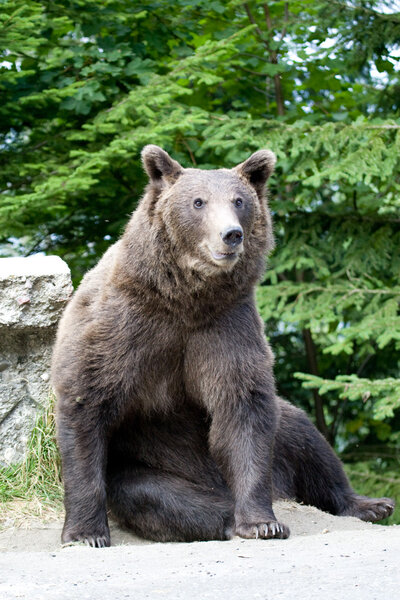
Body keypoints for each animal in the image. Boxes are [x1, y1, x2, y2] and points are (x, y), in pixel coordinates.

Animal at [51, 145, 396, 548]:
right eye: (198, 202)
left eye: (239, 200)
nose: (231, 234)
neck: (186, 298)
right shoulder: (125, 328)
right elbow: (87, 401)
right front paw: (85, 533)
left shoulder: (226, 327)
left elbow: (243, 407)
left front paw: (262, 523)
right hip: (144, 463)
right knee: (158, 496)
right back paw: (225, 518)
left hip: (278, 436)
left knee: (306, 439)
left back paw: (369, 504)